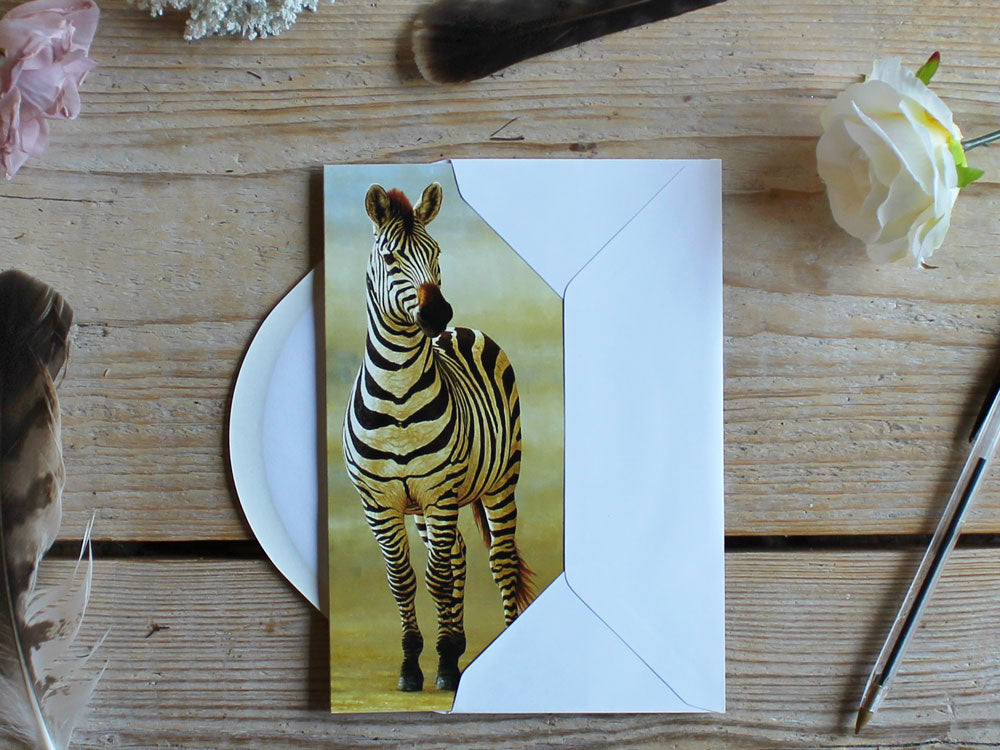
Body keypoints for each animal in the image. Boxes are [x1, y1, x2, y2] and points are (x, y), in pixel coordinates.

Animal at [342, 182, 535, 693]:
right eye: (390, 258)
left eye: (436, 253)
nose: (437, 313)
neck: (398, 395)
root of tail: (460, 331)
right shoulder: (381, 504)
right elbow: (404, 580)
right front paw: (413, 664)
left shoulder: (440, 493)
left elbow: (437, 579)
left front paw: (445, 664)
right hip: (424, 507)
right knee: (461, 554)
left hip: (501, 479)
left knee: (499, 560)